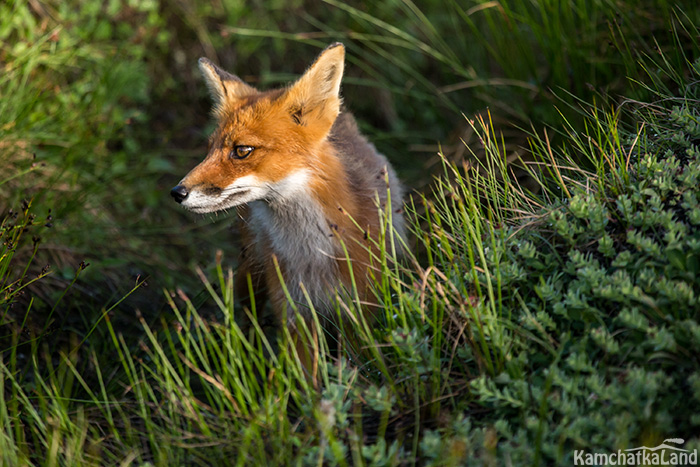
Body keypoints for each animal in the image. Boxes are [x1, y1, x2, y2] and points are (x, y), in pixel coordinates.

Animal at [170, 42, 408, 370]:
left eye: (242, 150)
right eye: (209, 149)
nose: (177, 192)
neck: (312, 252)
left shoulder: (358, 309)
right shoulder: (295, 311)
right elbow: (307, 376)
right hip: (252, 276)